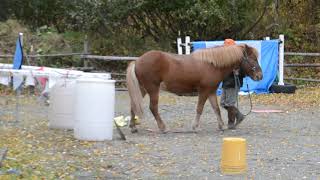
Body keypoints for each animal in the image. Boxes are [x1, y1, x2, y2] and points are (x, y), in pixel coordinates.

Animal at [125, 44, 262, 133]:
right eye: (253, 59)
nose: (260, 76)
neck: (212, 64)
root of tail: (138, 61)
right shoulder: (204, 91)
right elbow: (199, 109)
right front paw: (195, 127)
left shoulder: (211, 92)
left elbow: (216, 109)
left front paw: (221, 126)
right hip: (153, 89)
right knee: (153, 108)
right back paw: (163, 127)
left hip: (142, 89)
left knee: (134, 105)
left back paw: (133, 127)